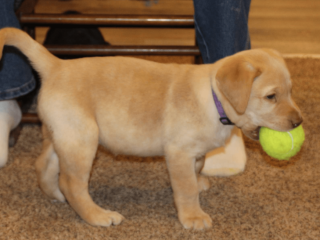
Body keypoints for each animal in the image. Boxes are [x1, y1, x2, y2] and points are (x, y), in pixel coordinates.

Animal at [0, 28, 302, 231]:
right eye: (271, 97)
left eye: (290, 91)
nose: (298, 122)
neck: (212, 98)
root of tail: (57, 65)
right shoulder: (179, 152)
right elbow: (185, 188)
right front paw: (193, 216)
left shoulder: (193, 153)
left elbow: (197, 167)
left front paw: (200, 182)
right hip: (83, 138)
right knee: (72, 182)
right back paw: (98, 215)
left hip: (62, 133)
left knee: (43, 164)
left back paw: (54, 195)